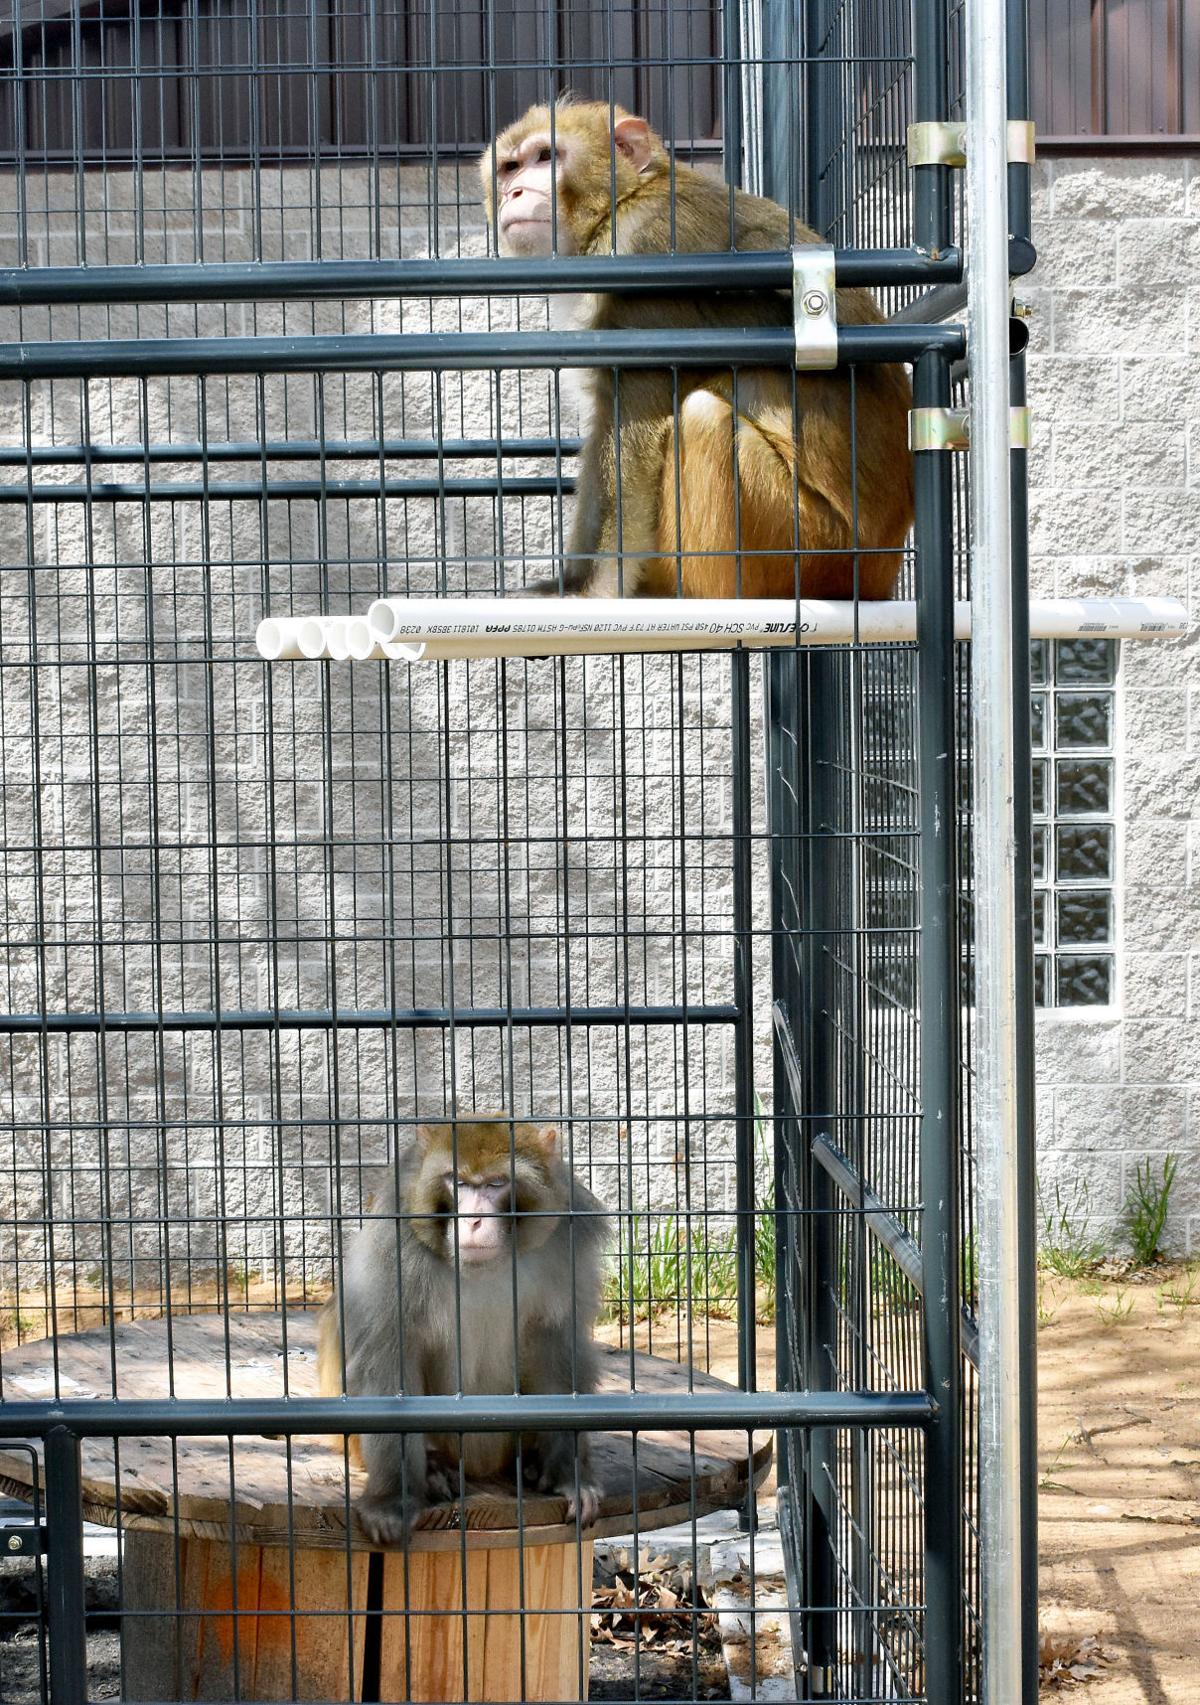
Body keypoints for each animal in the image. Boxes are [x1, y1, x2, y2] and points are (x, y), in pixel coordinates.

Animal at [317, 1116, 609, 1545]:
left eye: (495, 1184)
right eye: (458, 1182)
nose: (471, 1221)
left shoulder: (565, 1243)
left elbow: (557, 1348)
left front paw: (568, 1475)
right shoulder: (395, 1249)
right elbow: (385, 1357)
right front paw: (392, 1498)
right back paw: (434, 1469)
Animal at [479, 100, 914, 602]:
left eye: (546, 157)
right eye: (509, 168)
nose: (514, 192)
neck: (619, 205)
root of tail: (881, 567)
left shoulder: (643, 252)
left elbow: (629, 432)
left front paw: (580, 587)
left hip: (812, 547)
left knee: (704, 418)